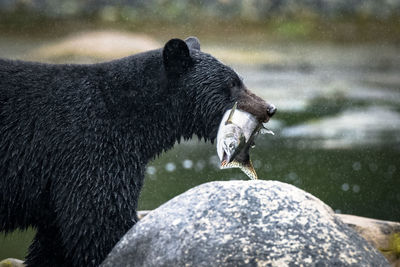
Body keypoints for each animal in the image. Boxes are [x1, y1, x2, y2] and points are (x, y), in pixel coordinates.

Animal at [0, 36, 276, 266]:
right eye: (231, 83)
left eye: (239, 80)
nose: (270, 108)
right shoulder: (90, 148)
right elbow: (101, 219)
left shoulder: (58, 185)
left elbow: (55, 241)